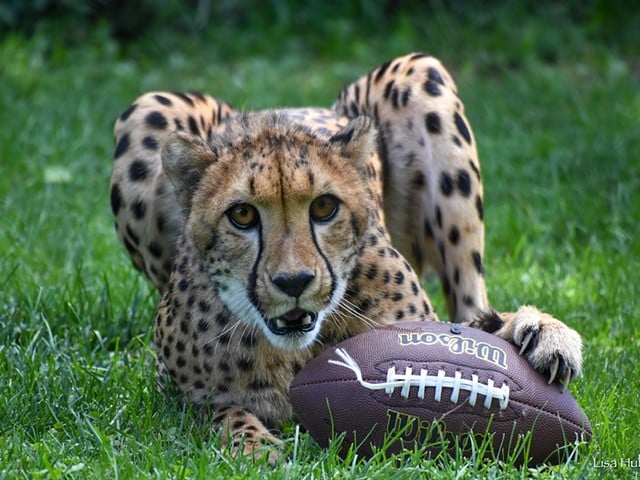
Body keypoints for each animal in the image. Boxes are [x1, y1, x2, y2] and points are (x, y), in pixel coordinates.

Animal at [111, 52, 584, 462]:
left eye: (324, 207)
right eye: (241, 214)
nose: (294, 282)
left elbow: (470, 332)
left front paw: (541, 331)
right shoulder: (172, 394)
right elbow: (224, 412)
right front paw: (257, 449)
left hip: (419, 73)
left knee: (471, 301)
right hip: (145, 109)